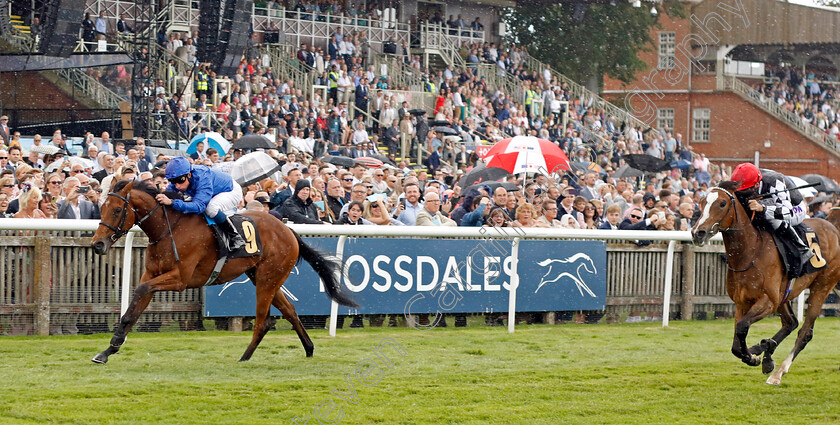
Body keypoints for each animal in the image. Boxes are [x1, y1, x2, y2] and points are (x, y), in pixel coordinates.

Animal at [89, 177, 358, 362]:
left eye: (117, 210)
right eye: (101, 208)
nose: (97, 244)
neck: (169, 228)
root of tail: (288, 230)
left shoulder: (180, 279)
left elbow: (141, 290)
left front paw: (113, 344)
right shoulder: (153, 274)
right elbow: (133, 308)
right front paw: (108, 350)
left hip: (268, 279)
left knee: (263, 321)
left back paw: (244, 357)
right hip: (262, 277)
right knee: (290, 311)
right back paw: (309, 349)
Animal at [692, 181, 840, 386]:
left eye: (722, 203)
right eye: (701, 201)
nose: (698, 233)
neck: (750, 253)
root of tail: (833, 227)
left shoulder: (767, 302)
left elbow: (742, 327)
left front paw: (753, 356)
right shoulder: (742, 302)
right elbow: (736, 342)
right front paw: (755, 354)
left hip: (822, 286)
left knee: (804, 332)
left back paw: (777, 372)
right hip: (784, 294)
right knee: (790, 322)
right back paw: (766, 350)